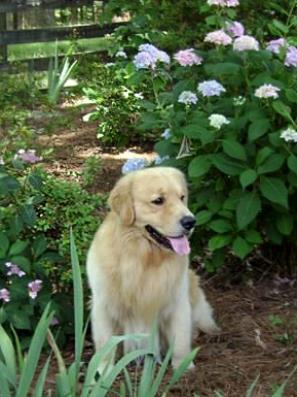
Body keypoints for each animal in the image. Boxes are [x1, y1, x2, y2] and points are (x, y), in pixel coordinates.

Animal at [85, 166, 217, 370]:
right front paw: (104, 370)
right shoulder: (103, 304)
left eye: (182, 197)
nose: (191, 222)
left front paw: (182, 367)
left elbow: (180, 341)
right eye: (158, 201)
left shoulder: (177, 302)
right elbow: (105, 343)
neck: (143, 258)